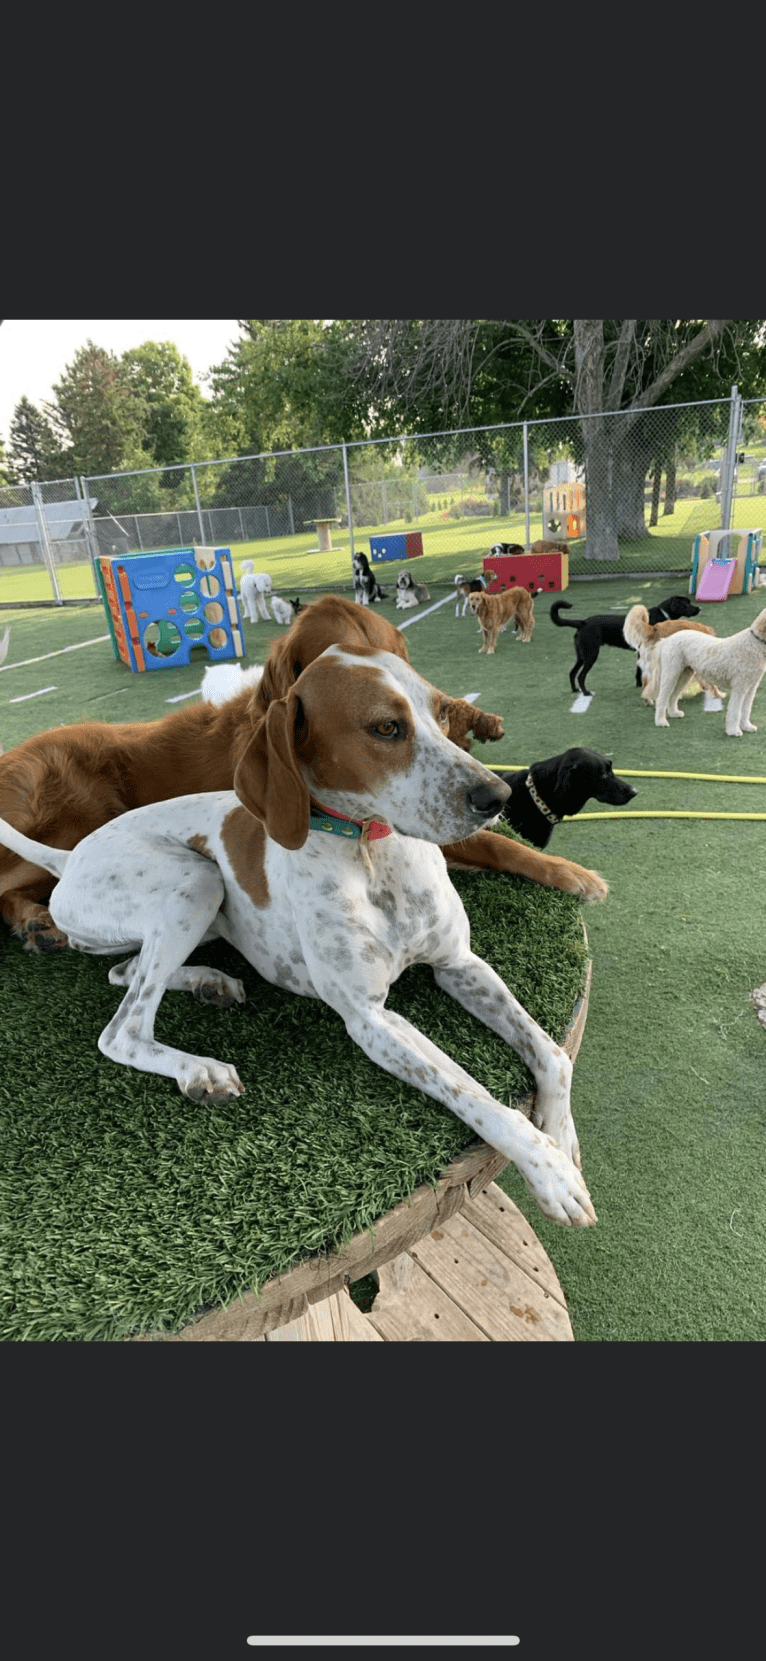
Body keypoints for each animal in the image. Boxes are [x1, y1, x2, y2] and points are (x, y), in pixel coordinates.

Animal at [0, 647, 598, 1235]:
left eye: (443, 712)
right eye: (386, 727)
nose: (497, 794)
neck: (372, 853)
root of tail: (69, 855)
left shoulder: (459, 964)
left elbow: (551, 1053)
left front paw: (561, 1135)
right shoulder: (371, 1019)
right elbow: (474, 1095)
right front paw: (549, 1171)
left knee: (123, 972)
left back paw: (210, 982)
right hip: (195, 880)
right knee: (121, 1030)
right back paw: (199, 1069)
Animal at [648, 604, 764, 734]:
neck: (755, 642)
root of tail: (667, 639)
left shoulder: (750, 687)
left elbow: (746, 709)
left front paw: (747, 726)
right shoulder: (739, 687)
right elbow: (735, 710)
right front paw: (733, 731)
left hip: (684, 675)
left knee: (673, 696)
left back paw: (674, 713)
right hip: (671, 674)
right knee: (662, 698)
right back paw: (660, 721)